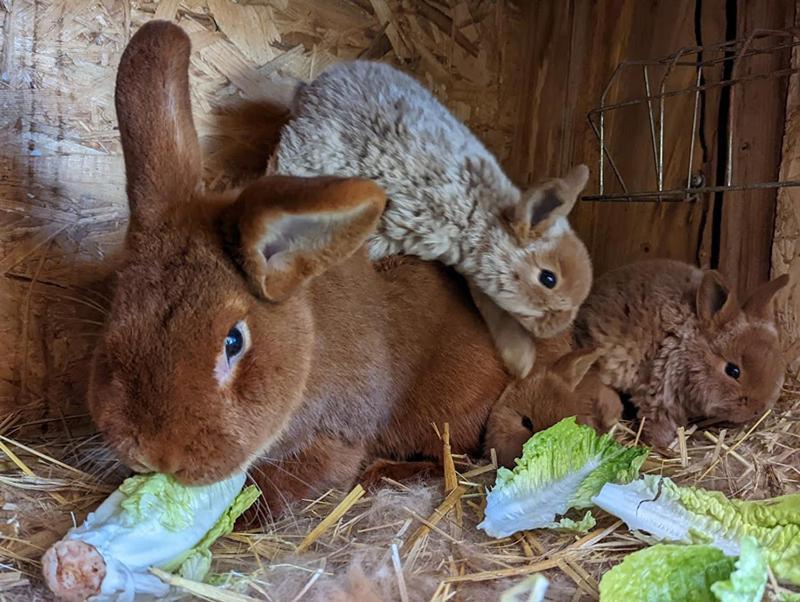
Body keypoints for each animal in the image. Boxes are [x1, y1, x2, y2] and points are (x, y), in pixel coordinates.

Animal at [272, 62, 592, 380]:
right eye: (548, 278)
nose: (556, 328)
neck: (483, 219)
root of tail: (321, 82)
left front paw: (521, 363)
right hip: (312, 147)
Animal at [572, 258, 792, 446]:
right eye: (733, 371)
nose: (757, 410)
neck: (690, 348)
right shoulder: (660, 390)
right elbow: (657, 421)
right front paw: (663, 448)